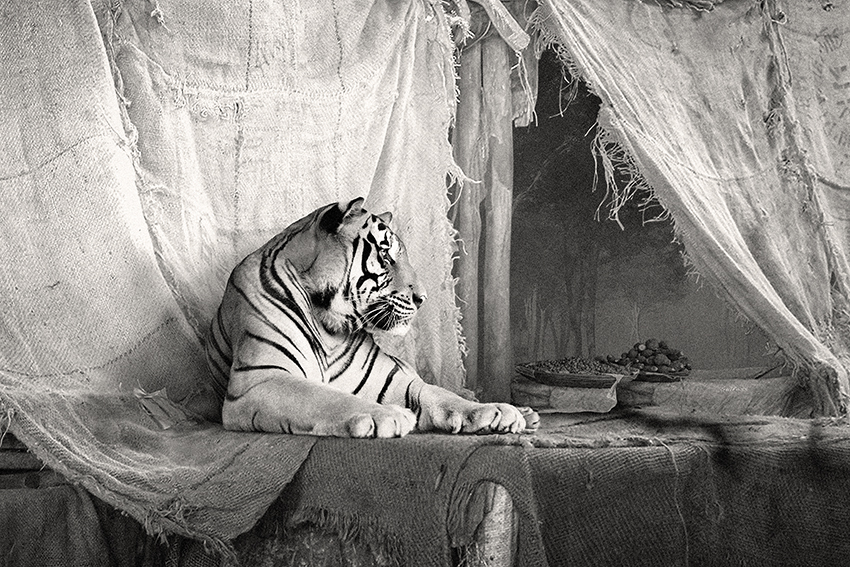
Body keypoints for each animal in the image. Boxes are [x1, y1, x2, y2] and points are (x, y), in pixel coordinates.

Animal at [205, 197, 539, 438]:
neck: (329, 326)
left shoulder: (397, 379)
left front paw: (495, 412)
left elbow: (440, 394)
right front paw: (390, 415)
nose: (423, 298)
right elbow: (326, 397)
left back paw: (523, 412)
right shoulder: (261, 379)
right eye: (386, 255)